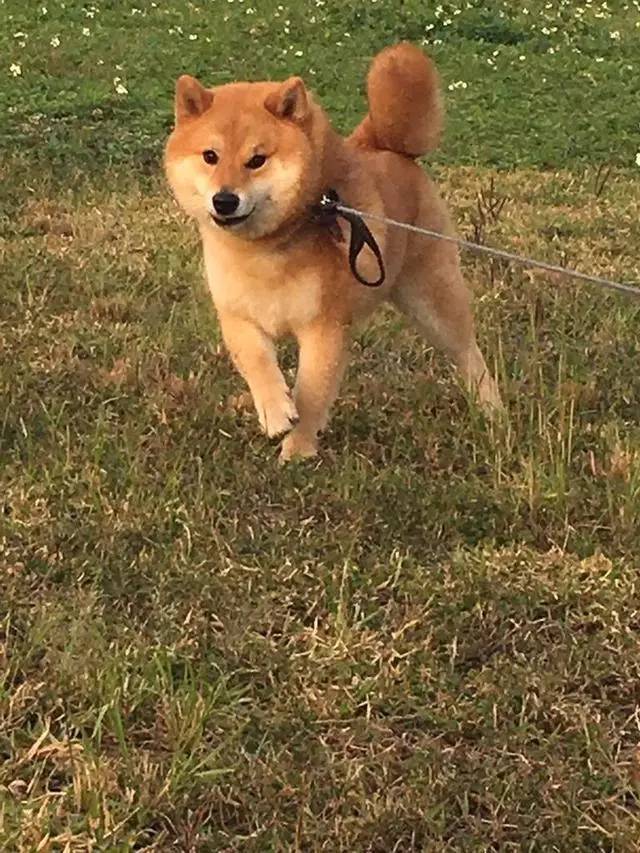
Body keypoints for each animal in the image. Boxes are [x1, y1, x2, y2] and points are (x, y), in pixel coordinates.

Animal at [165, 41, 500, 460]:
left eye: (257, 160)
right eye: (210, 156)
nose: (224, 200)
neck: (264, 251)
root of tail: (386, 148)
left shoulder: (323, 327)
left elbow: (311, 392)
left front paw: (298, 450)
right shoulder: (238, 316)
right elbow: (258, 364)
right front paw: (275, 410)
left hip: (433, 300)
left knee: (469, 354)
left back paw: (491, 409)